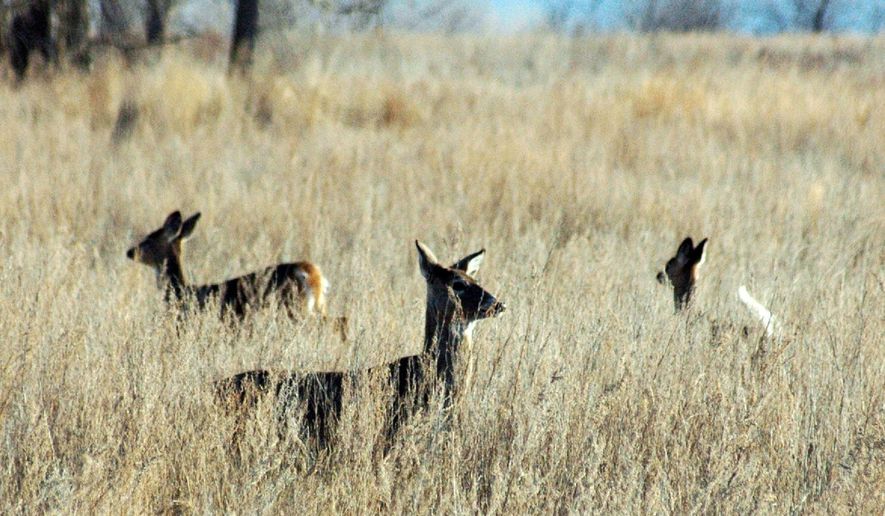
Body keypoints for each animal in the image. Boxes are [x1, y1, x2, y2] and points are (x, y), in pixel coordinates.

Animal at [126, 211, 333, 323]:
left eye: (149, 239)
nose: (129, 252)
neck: (183, 292)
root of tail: (313, 273)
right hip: (318, 307)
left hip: (295, 308)